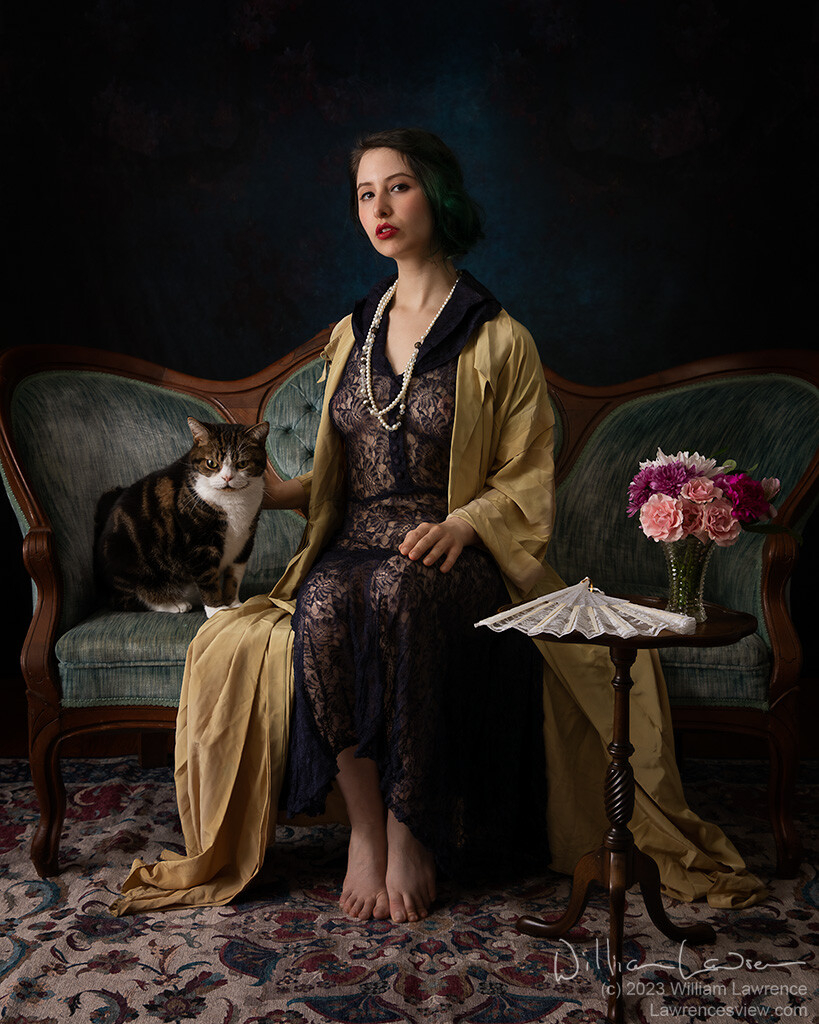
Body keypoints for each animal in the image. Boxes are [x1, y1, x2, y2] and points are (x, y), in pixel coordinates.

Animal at [95, 415, 268, 614]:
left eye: (242, 464)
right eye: (211, 463)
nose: (227, 478)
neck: (233, 502)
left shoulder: (246, 539)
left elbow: (234, 577)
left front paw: (234, 604)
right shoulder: (199, 544)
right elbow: (208, 579)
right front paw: (217, 611)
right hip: (127, 561)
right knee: (131, 599)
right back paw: (173, 603)